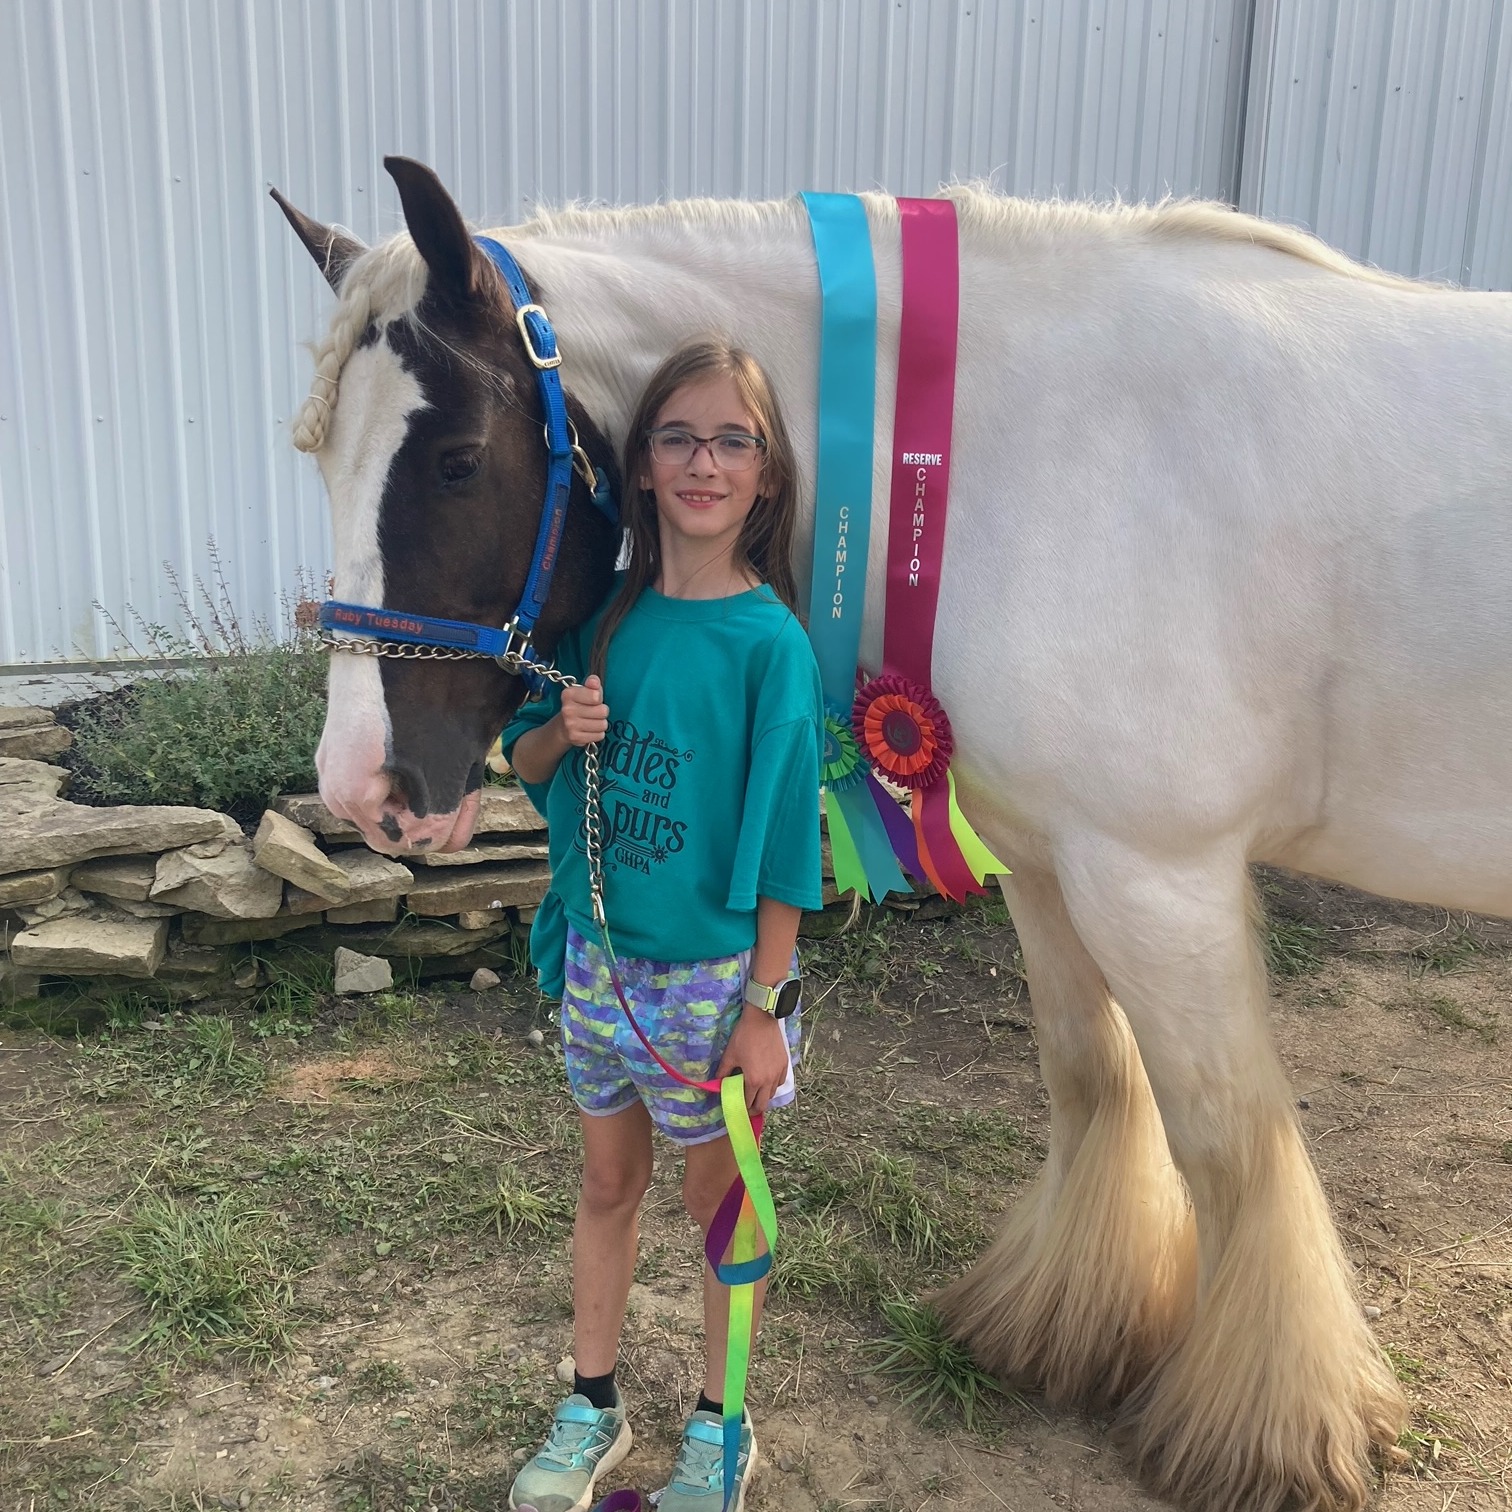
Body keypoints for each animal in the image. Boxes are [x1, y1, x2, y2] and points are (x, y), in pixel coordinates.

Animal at [272, 156, 1512, 1512]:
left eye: (454, 458)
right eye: (321, 458)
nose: (362, 788)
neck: (1041, 448)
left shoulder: (1159, 877)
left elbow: (1233, 1145)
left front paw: (1276, 1438)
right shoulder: (1052, 864)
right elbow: (1092, 1078)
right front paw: (1062, 1328)